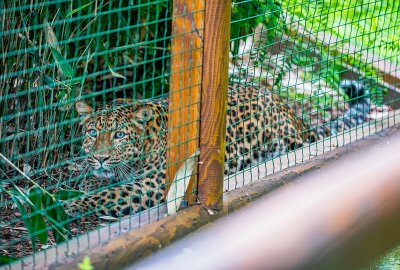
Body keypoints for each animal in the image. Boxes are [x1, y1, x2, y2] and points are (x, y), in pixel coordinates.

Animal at [67, 79, 370, 217]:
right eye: (92, 133)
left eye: (119, 135)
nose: (101, 158)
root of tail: (288, 109)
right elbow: (97, 184)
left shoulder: (152, 186)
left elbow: (107, 195)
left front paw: (68, 206)